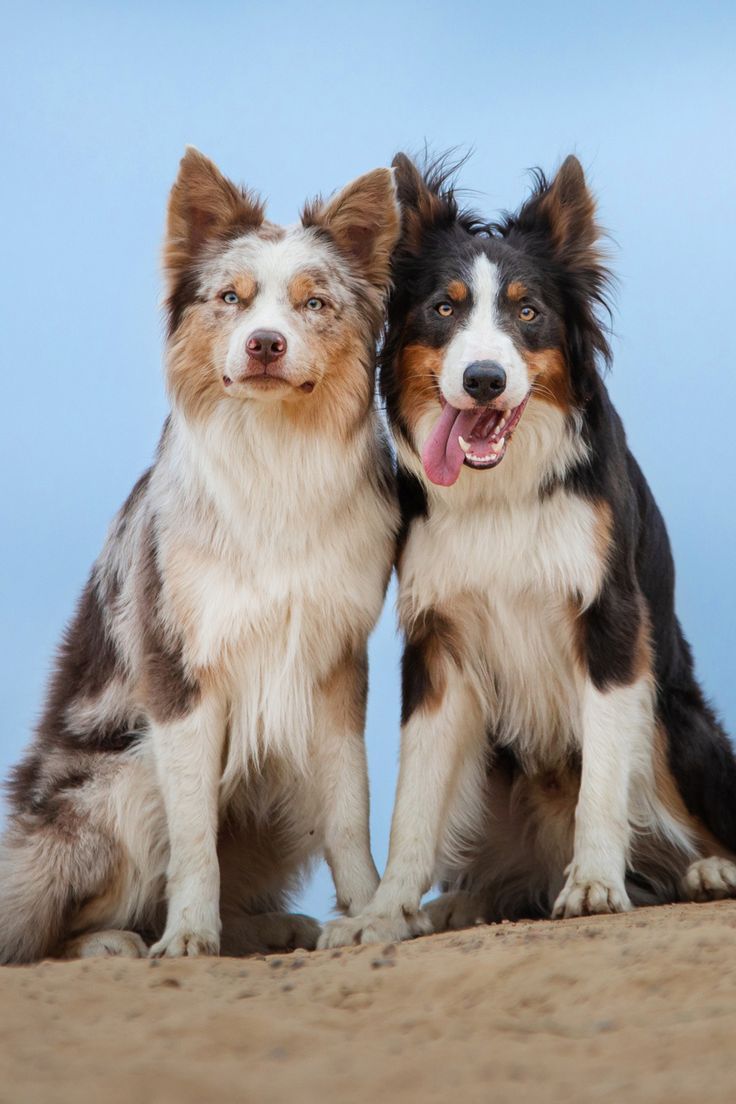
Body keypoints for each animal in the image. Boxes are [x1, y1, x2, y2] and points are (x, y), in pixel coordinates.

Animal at [0, 151, 399, 962]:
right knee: (39, 931)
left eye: (314, 303)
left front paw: (367, 913)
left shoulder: (335, 662)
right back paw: (117, 942)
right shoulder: (179, 670)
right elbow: (192, 837)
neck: (274, 459)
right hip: (123, 777)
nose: (264, 343)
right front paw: (187, 935)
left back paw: (273, 927)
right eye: (231, 298)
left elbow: (350, 808)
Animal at [320, 151, 736, 949]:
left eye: (527, 311)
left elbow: (602, 776)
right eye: (444, 308)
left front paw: (597, 882)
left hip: (674, 719)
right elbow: (414, 800)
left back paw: (709, 869)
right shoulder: (438, 642)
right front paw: (386, 911)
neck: (501, 493)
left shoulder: (611, 621)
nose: (484, 379)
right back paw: (462, 902)